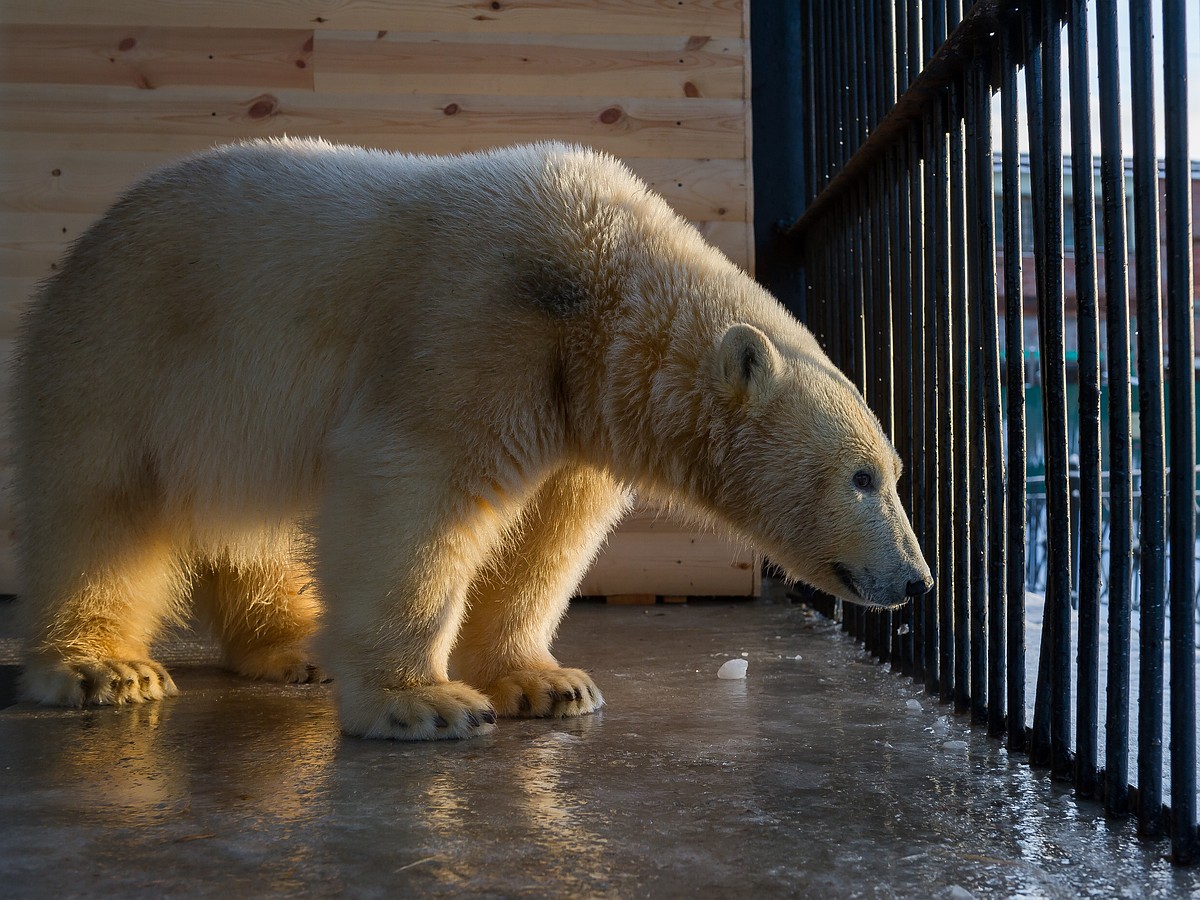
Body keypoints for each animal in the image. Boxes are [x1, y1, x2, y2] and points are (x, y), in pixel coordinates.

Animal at [14, 141, 931, 739]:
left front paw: (548, 682)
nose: (918, 580)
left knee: (249, 530)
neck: (599, 291)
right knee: (97, 509)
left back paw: (296, 645)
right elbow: (416, 491)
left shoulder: (574, 410)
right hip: (127, 356)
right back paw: (103, 667)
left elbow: (544, 538)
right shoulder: (473, 328)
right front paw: (424, 700)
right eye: (862, 477)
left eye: (893, 470)